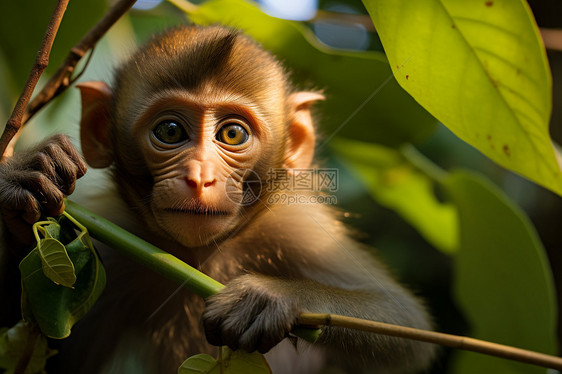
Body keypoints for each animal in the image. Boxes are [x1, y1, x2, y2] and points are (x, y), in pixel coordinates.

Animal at [0, 24, 434, 372]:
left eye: (232, 134)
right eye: (170, 131)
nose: (200, 177)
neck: (202, 254)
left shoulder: (297, 226)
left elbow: (404, 324)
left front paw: (272, 297)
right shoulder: (111, 244)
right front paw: (26, 180)